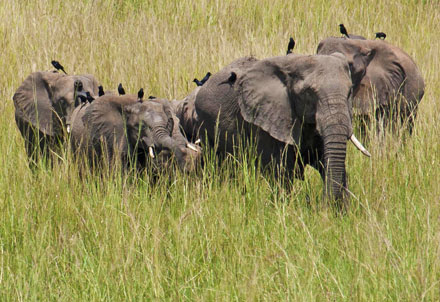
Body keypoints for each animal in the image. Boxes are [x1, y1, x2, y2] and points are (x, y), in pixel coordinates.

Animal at [183, 53, 372, 205]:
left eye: (349, 92)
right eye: (309, 93)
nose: (322, 204)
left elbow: (329, 163)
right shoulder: (267, 121)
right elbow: (282, 173)